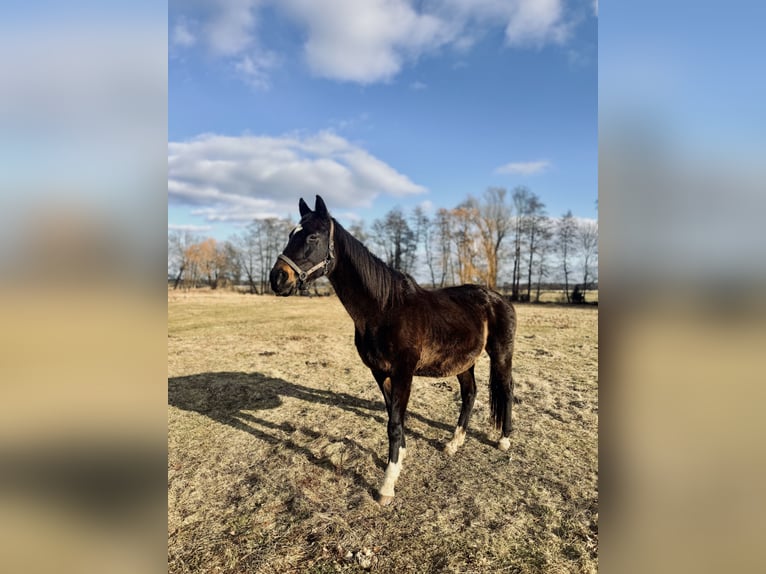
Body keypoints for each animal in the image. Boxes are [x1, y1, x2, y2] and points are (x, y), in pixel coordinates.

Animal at [270, 195, 517, 505]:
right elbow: (393, 416)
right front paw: (399, 460)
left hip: (501, 354)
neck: (385, 308)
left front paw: (387, 485)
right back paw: (453, 443)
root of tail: (499, 298)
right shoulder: (380, 373)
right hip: (463, 362)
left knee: (506, 388)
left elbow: (394, 423)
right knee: (470, 393)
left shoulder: (403, 373)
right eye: (292, 233)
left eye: (312, 236)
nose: (278, 278)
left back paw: (504, 439)